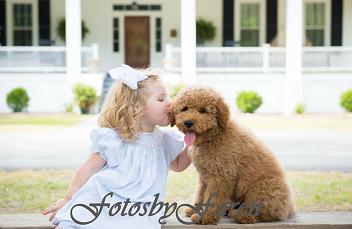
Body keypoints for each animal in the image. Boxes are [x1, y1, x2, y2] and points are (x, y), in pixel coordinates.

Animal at [170, 85, 294, 224]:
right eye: (185, 108)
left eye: (203, 110)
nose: (188, 123)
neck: (214, 136)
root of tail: (288, 209)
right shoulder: (204, 176)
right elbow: (200, 194)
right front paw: (194, 210)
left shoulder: (221, 176)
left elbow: (212, 198)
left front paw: (205, 217)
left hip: (262, 189)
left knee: (264, 212)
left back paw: (241, 215)